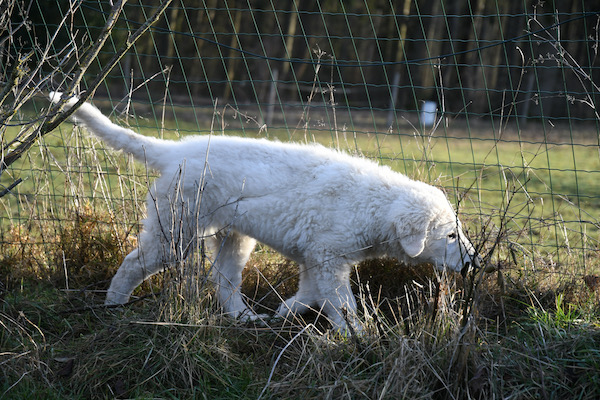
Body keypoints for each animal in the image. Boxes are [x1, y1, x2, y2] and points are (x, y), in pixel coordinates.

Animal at [49, 92, 480, 332]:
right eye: (450, 235)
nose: (474, 263)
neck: (374, 204)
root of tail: (176, 151)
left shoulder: (318, 258)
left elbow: (312, 292)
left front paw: (287, 311)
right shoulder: (327, 257)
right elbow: (341, 301)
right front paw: (358, 334)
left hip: (233, 237)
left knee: (223, 279)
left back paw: (245, 318)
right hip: (175, 230)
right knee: (134, 262)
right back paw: (114, 304)